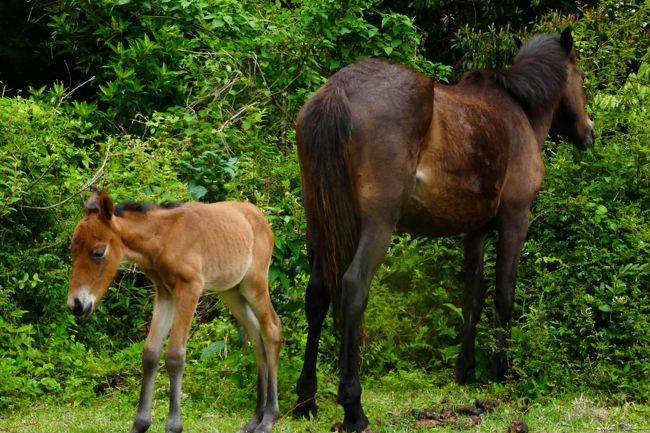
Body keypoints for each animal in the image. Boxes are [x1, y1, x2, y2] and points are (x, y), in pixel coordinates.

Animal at [67, 190, 280, 432]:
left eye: (98, 252)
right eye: (72, 249)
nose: (76, 305)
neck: (163, 239)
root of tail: (260, 217)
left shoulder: (189, 289)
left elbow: (175, 355)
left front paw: (174, 425)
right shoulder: (165, 293)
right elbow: (150, 353)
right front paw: (140, 424)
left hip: (254, 284)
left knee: (271, 330)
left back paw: (269, 418)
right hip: (231, 291)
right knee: (256, 335)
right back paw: (255, 418)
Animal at [294, 28, 592, 430]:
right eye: (580, 76)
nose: (589, 132)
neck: (517, 112)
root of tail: (338, 89)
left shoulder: (476, 231)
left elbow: (472, 297)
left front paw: (465, 370)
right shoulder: (516, 219)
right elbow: (504, 296)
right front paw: (501, 371)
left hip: (319, 223)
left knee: (317, 295)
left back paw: (305, 400)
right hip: (377, 223)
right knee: (354, 287)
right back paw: (353, 407)